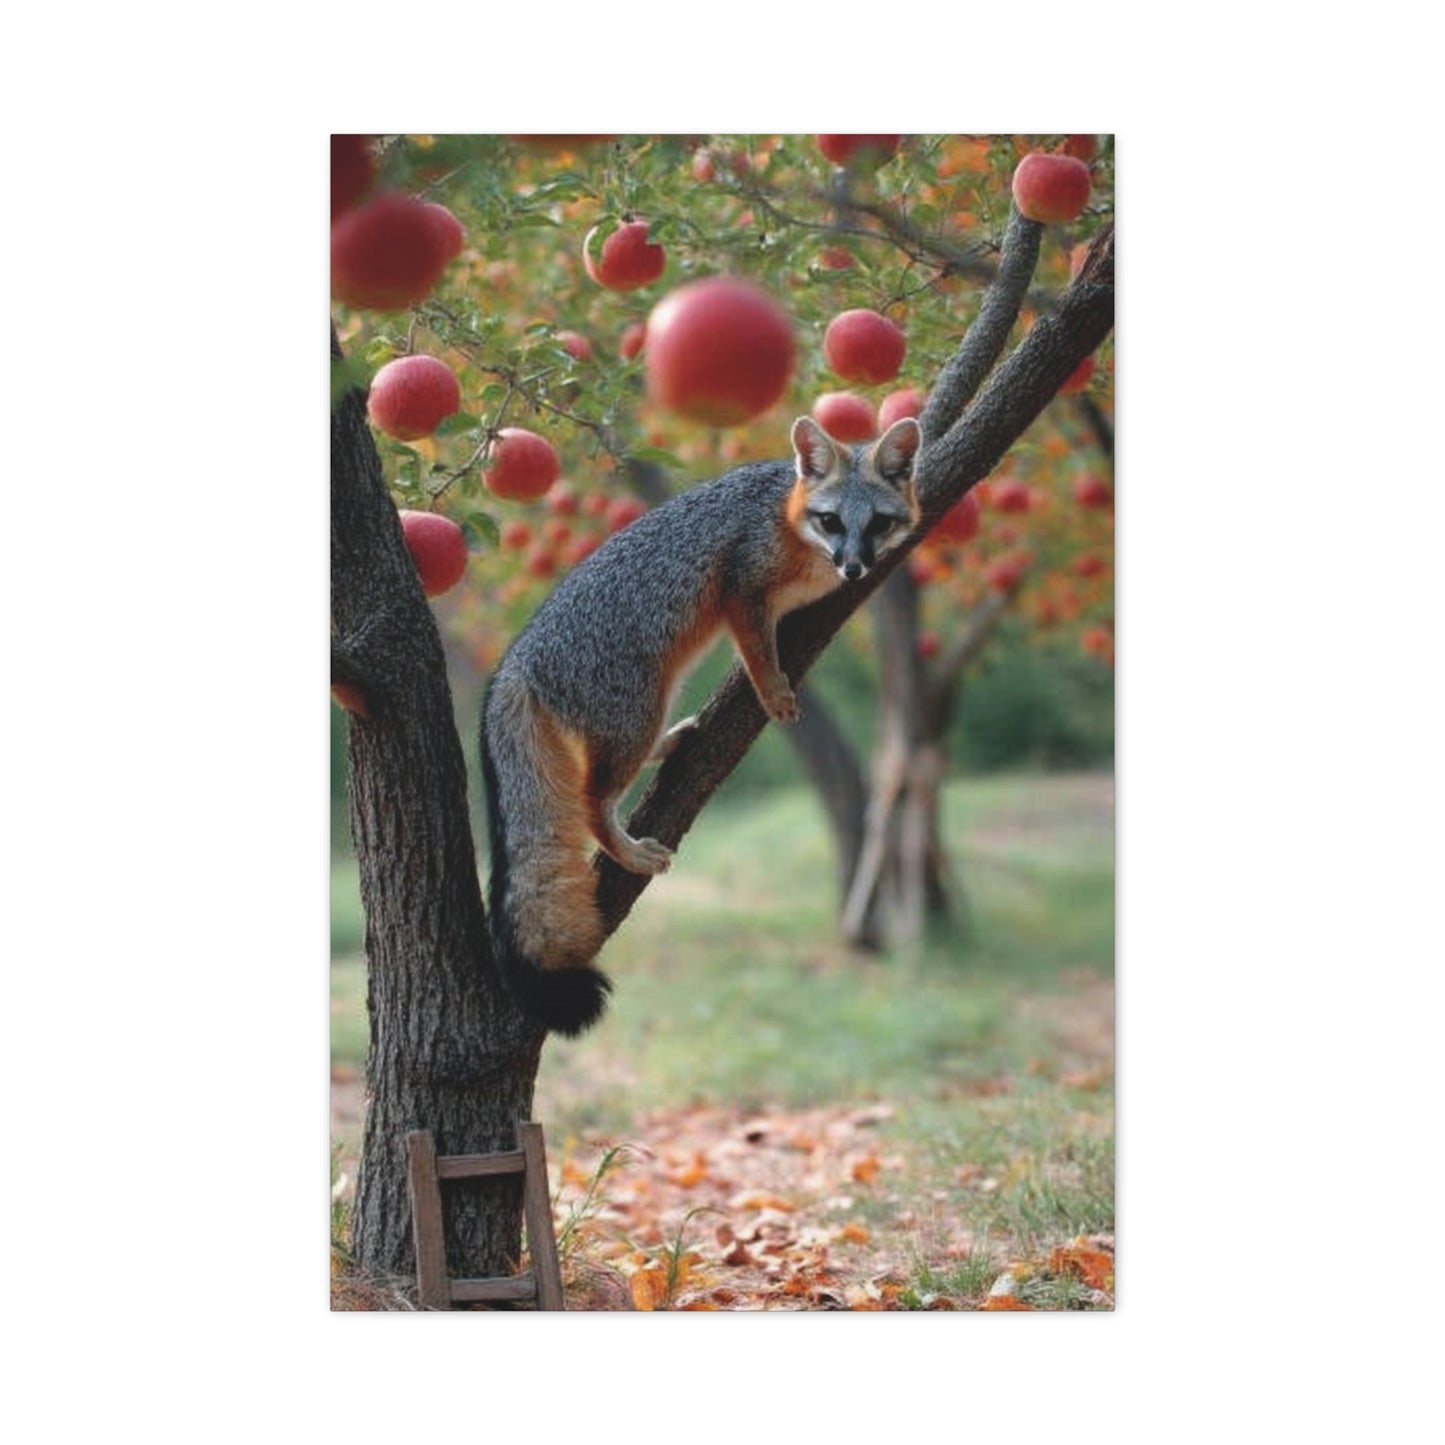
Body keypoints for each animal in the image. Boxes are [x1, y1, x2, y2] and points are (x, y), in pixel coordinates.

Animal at [480, 413, 923, 1035]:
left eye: (878, 523)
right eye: (832, 521)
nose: (854, 566)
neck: (786, 518)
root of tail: (517, 659)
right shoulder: (740, 588)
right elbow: (758, 654)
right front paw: (774, 691)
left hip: (649, 709)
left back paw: (676, 742)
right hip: (637, 712)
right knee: (591, 800)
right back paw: (628, 851)